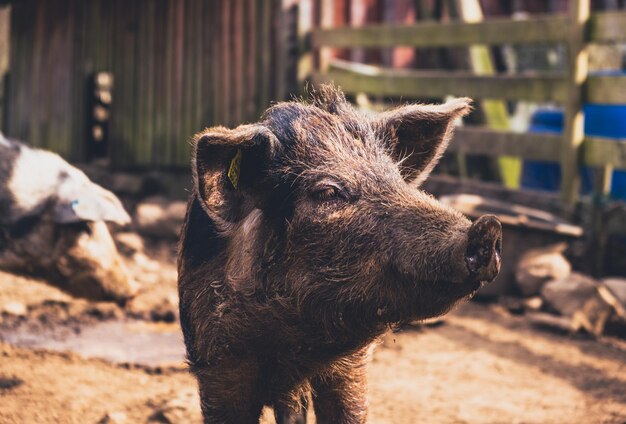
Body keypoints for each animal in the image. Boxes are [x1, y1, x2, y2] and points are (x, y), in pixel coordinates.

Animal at [178, 84, 500, 422]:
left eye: (397, 180)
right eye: (328, 191)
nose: (489, 226)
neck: (295, 344)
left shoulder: (351, 365)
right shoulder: (217, 364)